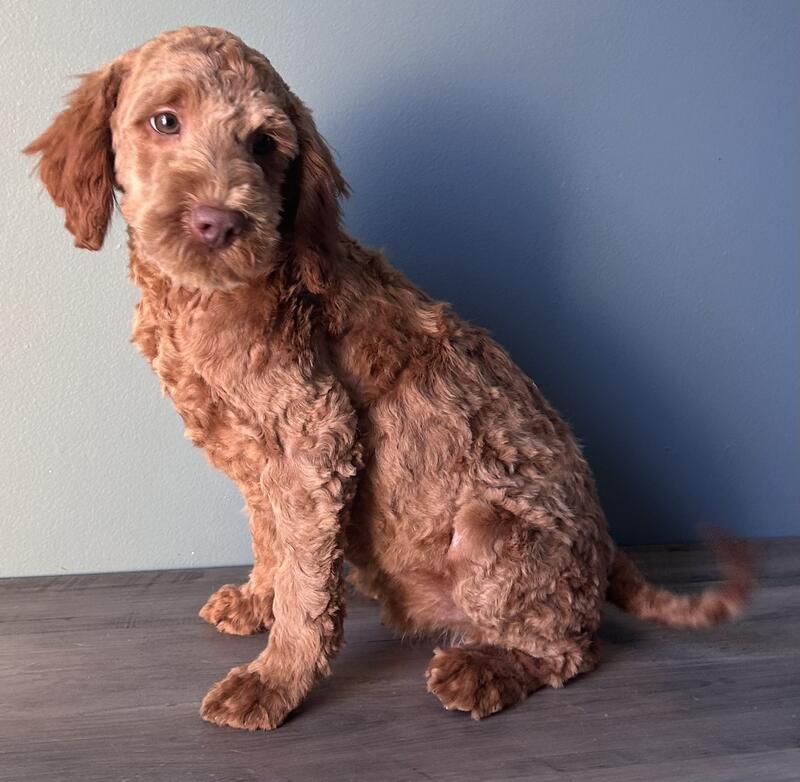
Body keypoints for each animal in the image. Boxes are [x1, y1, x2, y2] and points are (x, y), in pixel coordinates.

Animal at [25, 26, 754, 730]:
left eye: (265, 145)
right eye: (165, 120)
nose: (219, 222)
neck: (201, 298)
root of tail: (607, 550)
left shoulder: (317, 435)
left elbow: (308, 585)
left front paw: (276, 679)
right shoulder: (259, 459)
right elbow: (271, 541)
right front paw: (259, 601)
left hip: (489, 532)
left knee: (573, 646)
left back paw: (486, 670)